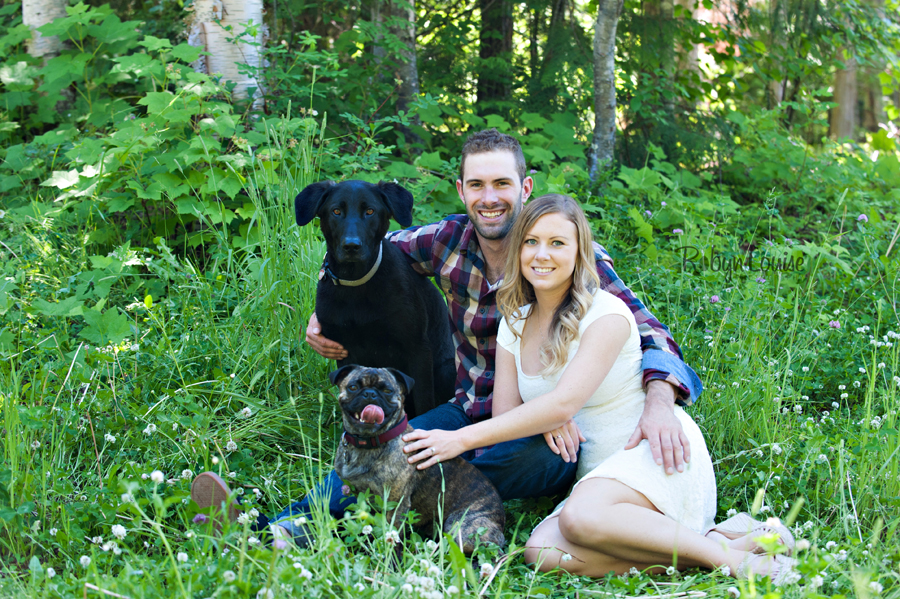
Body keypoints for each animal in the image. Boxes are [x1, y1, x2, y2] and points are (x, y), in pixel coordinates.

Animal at [298, 180, 458, 420]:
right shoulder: (345, 352)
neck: (356, 284)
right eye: (336, 211)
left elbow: (424, 404)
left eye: (370, 211)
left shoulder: (418, 349)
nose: (351, 246)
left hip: (446, 369)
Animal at [330, 364, 506, 556]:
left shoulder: (395, 504)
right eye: (353, 387)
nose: (370, 394)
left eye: (387, 390)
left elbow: (393, 538)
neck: (368, 443)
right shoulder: (362, 497)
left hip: (460, 528)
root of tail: (501, 519)